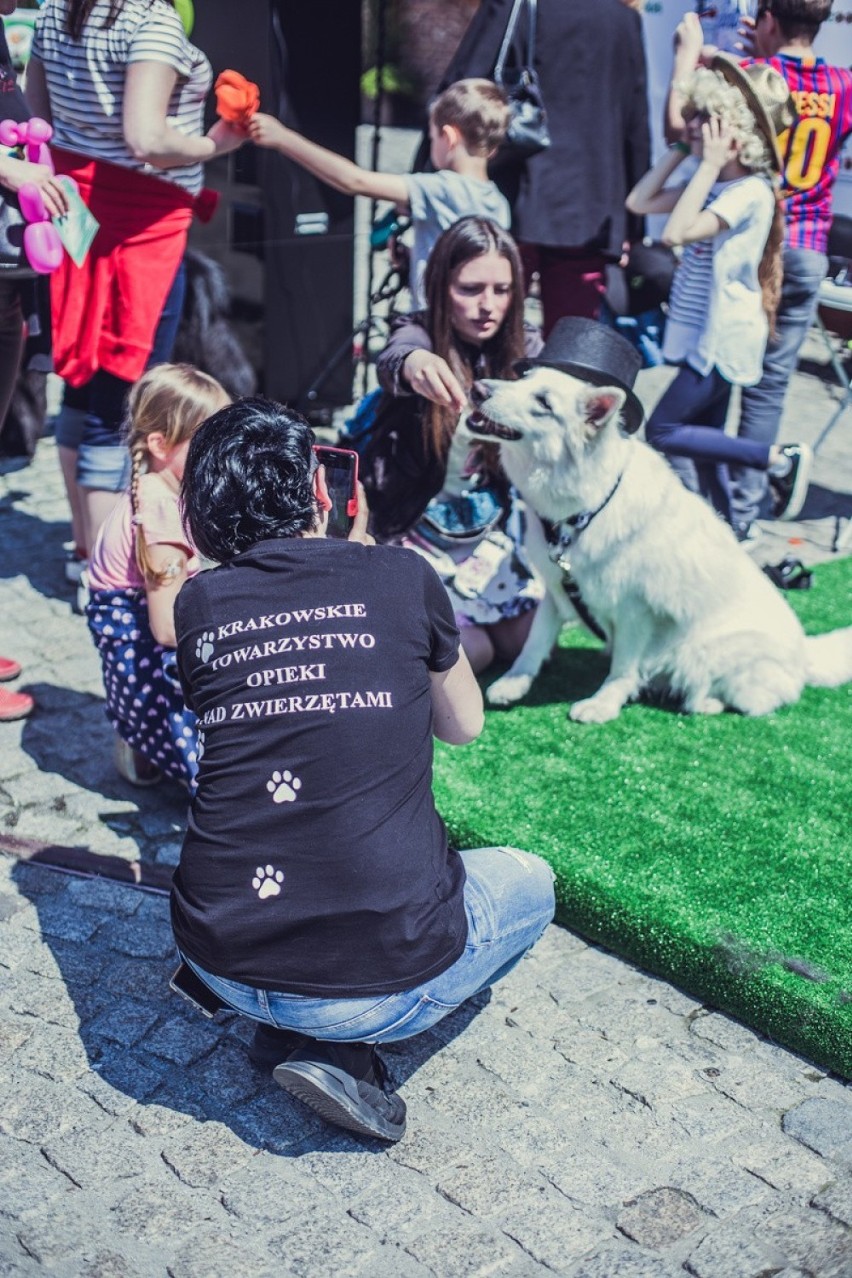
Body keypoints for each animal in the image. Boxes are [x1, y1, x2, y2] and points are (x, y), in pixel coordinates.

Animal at [467, 368, 852, 720]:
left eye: (544, 402)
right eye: (522, 378)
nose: (477, 387)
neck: (588, 507)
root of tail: (805, 655)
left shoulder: (635, 611)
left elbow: (623, 668)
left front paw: (604, 704)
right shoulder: (557, 590)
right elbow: (534, 642)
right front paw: (515, 681)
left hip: (707, 650)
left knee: (742, 701)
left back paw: (702, 702)